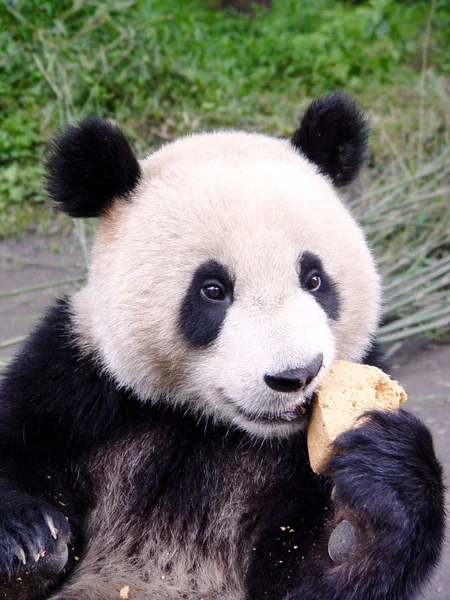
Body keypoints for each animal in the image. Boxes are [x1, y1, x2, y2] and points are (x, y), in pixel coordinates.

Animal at [0, 92, 442, 600]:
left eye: (314, 279)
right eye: (213, 290)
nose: (295, 376)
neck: (210, 425)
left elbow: (304, 577)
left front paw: (374, 493)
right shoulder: (78, 376)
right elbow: (20, 432)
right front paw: (28, 538)